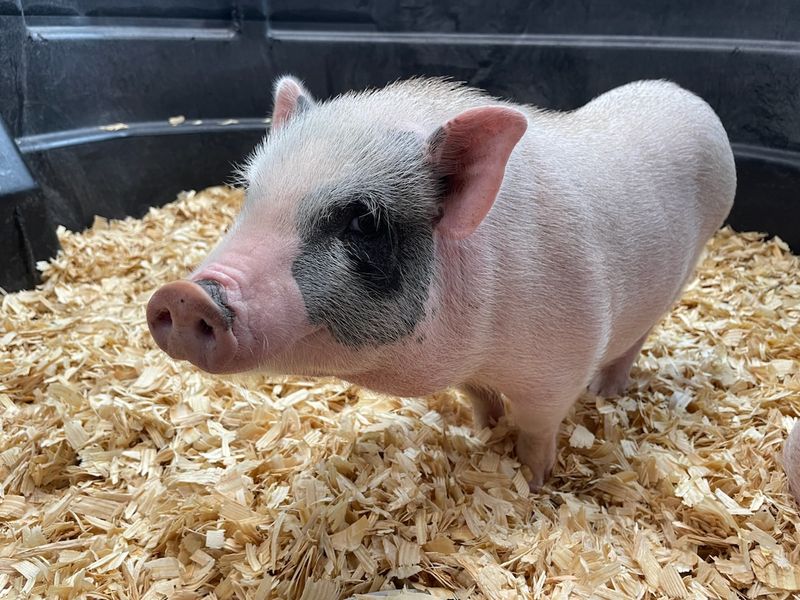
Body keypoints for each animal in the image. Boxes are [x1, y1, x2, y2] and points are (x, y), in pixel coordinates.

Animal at [147, 75, 737, 490]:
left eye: (364, 222)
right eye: (251, 195)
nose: (184, 296)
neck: (478, 348)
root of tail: (692, 100)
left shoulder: (558, 369)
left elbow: (537, 429)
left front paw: (532, 483)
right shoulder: (470, 374)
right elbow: (481, 402)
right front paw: (481, 435)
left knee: (634, 341)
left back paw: (605, 392)